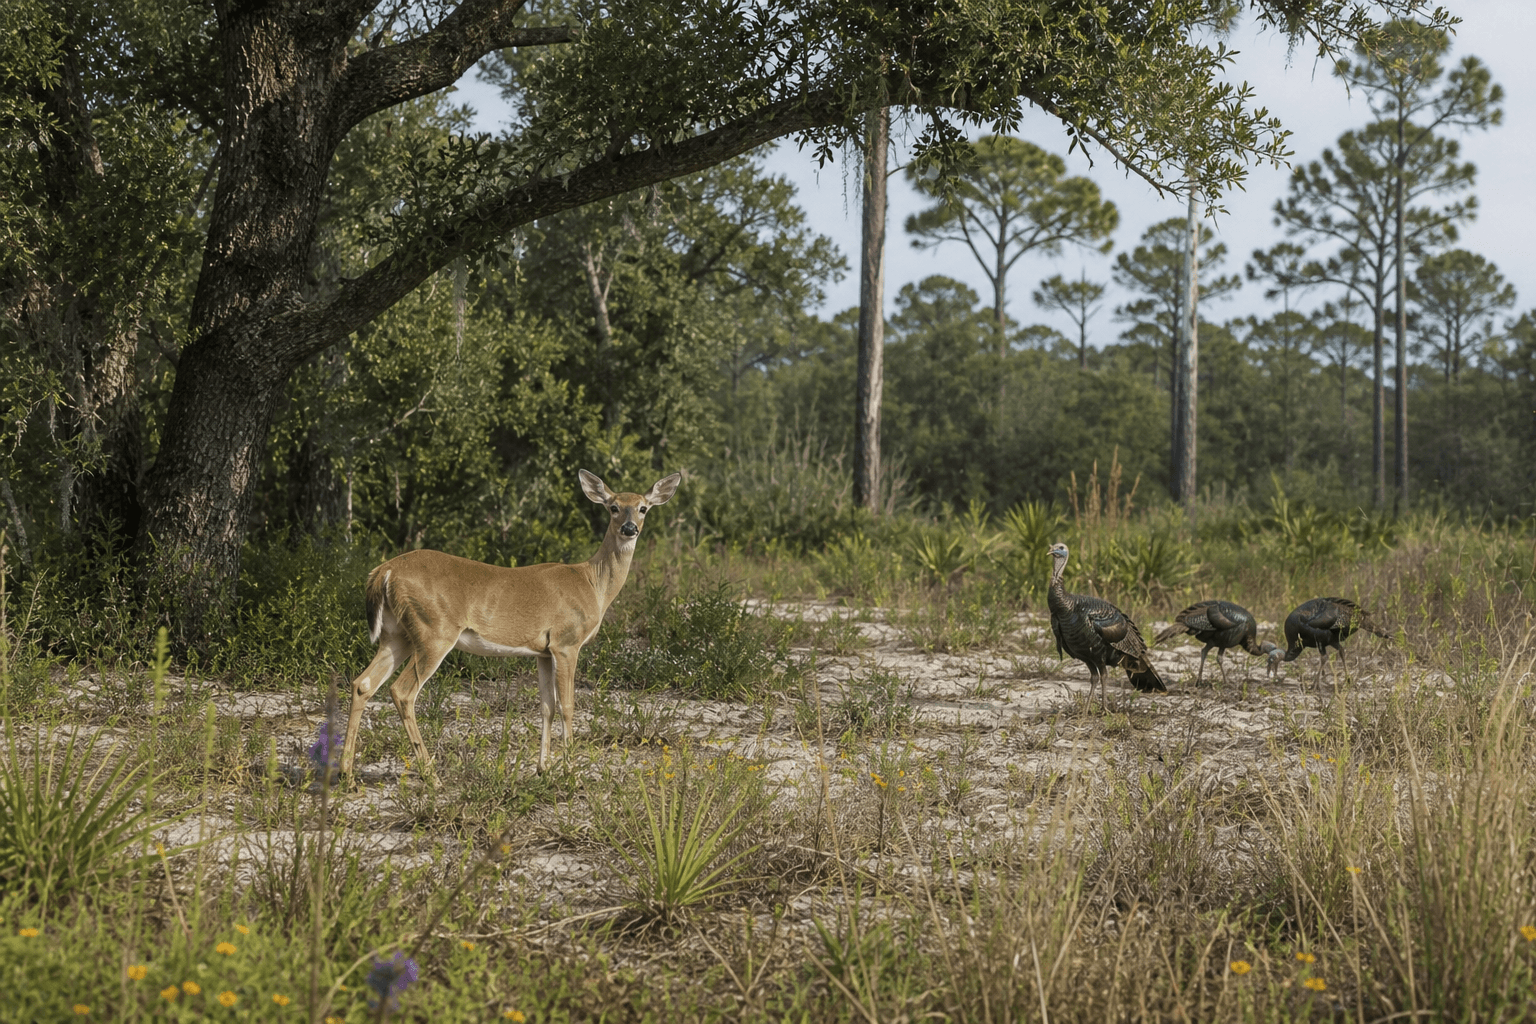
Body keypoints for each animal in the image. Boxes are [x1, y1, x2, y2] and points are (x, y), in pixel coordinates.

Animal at [339, 469, 682, 778]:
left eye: (643, 507)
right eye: (613, 506)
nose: (629, 528)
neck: (592, 584)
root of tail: (383, 571)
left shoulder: (544, 651)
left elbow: (547, 706)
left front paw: (544, 768)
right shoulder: (566, 642)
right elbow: (568, 705)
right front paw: (571, 770)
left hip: (397, 633)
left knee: (363, 684)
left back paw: (346, 774)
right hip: (434, 631)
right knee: (402, 691)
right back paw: (431, 775)